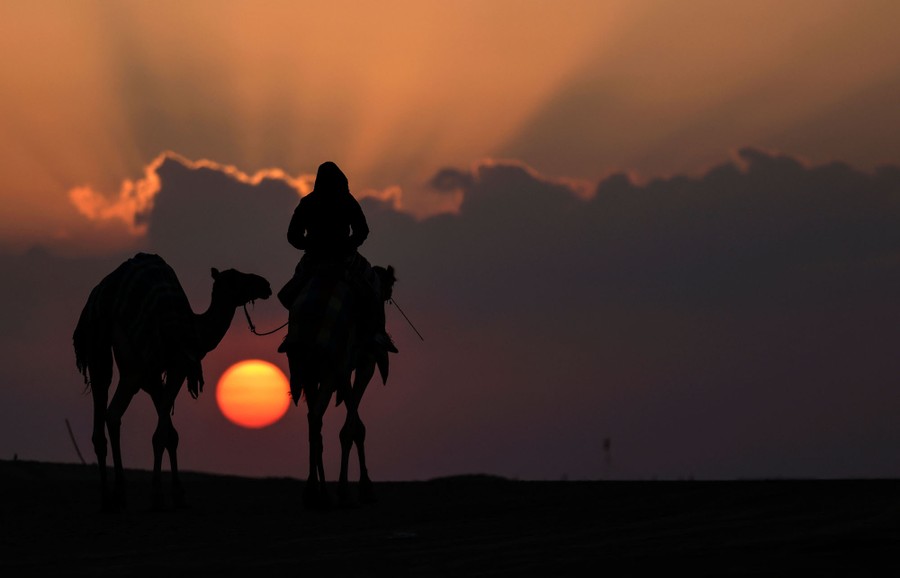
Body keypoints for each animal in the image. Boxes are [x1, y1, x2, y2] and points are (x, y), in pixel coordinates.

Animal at [73, 252, 271, 511]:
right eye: (237, 278)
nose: (265, 285)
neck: (197, 330)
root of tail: (104, 302)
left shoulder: (155, 376)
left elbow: (170, 432)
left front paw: (176, 492)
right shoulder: (177, 366)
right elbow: (161, 434)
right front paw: (162, 494)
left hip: (98, 349)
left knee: (102, 413)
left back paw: (108, 496)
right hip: (132, 366)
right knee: (114, 413)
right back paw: (120, 492)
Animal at [281, 263, 395, 508]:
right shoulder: (364, 364)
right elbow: (355, 428)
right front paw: (361, 488)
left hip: (308, 367)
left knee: (314, 419)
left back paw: (316, 492)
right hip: (335, 364)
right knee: (320, 417)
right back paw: (322, 492)